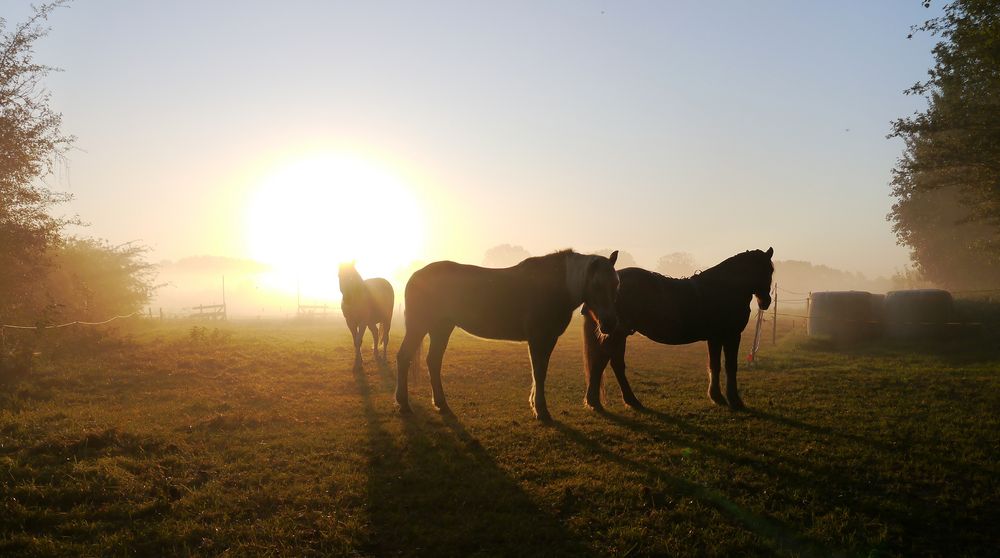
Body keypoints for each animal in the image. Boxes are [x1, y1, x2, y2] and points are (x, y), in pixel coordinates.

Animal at [396, 252, 616, 422]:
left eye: (616, 283)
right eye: (597, 285)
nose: (609, 324)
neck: (554, 285)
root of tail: (416, 275)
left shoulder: (547, 339)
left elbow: (540, 371)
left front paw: (535, 406)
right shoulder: (539, 338)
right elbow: (539, 372)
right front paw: (541, 410)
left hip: (441, 328)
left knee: (433, 361)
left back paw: (441, 404)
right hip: (419, 326)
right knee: (404, 357)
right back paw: (403, 403)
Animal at [580, 248, 772, 412]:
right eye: (767, 270)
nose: (766, 302)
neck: (723, 288)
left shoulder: (715, 338)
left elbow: (715, 365)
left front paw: (717, 397)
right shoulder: (731, 336)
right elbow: (731, 366)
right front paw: (735, 400)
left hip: (618, 333)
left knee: (614, 364)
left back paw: (628, 401)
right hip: (616, 333)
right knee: (602, 362)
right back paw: (597, 402)